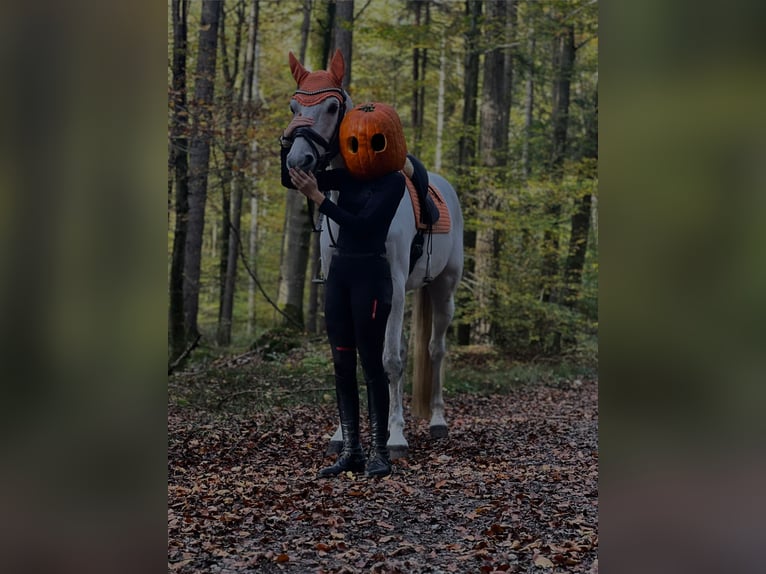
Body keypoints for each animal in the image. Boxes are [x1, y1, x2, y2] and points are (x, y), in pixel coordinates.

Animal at [284, 51, 464, 462]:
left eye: (332, 107)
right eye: (294, 106)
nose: (298, 160)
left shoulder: (393, 288)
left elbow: (390, 360)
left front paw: (395, 436)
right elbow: (348, 356)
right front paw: (340, 434)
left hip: (443, 289)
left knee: (435, 350)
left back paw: (437, 421)